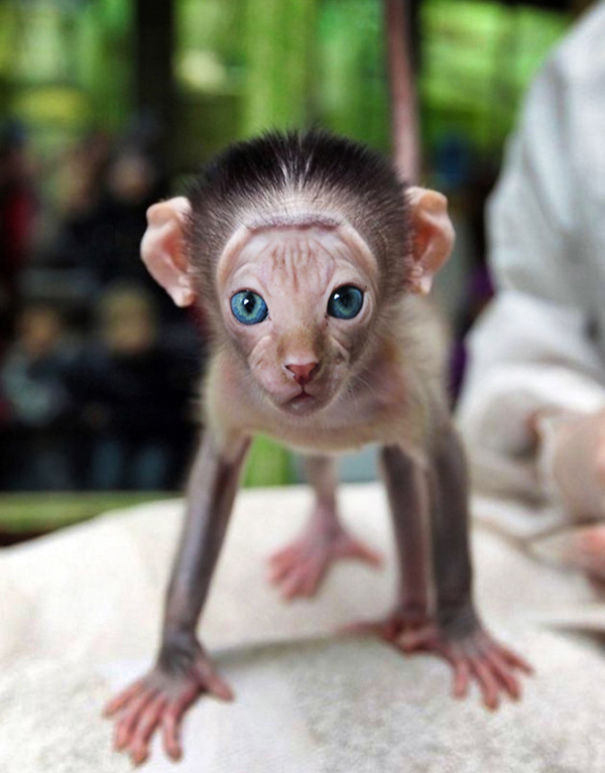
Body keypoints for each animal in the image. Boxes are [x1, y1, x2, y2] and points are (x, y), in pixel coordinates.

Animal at [103, 129, 531, 765]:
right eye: (249, 305)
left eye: (345, 300)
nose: (301, 365)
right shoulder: (228, 394)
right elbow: (213, 481)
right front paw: (174, 666)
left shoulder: (408, 386)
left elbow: (446, 462)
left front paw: (461, 632)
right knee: (338, 467)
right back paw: (330, 542)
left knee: (401, 471)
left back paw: (408, 618)